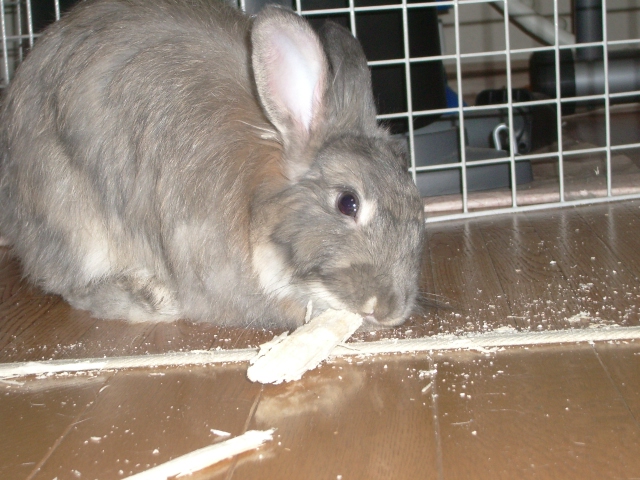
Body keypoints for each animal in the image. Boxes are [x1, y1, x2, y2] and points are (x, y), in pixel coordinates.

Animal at [0, 0, 425, 329]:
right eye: (347, 203)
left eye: (417, 204)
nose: (388, 308)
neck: (255, 203)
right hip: (75, 223)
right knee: (71, 287)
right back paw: (152, 299)